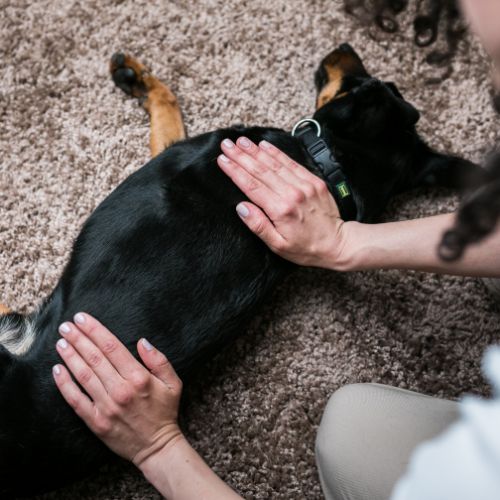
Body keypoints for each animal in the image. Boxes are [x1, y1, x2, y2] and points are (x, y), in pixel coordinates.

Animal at [0, 45, 478, 498]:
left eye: (360, 82)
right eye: (379, 81)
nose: (343, 45)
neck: (323, 164)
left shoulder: (187, 149)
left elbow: (168, 106)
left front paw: (138, 79)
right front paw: (136, 76)